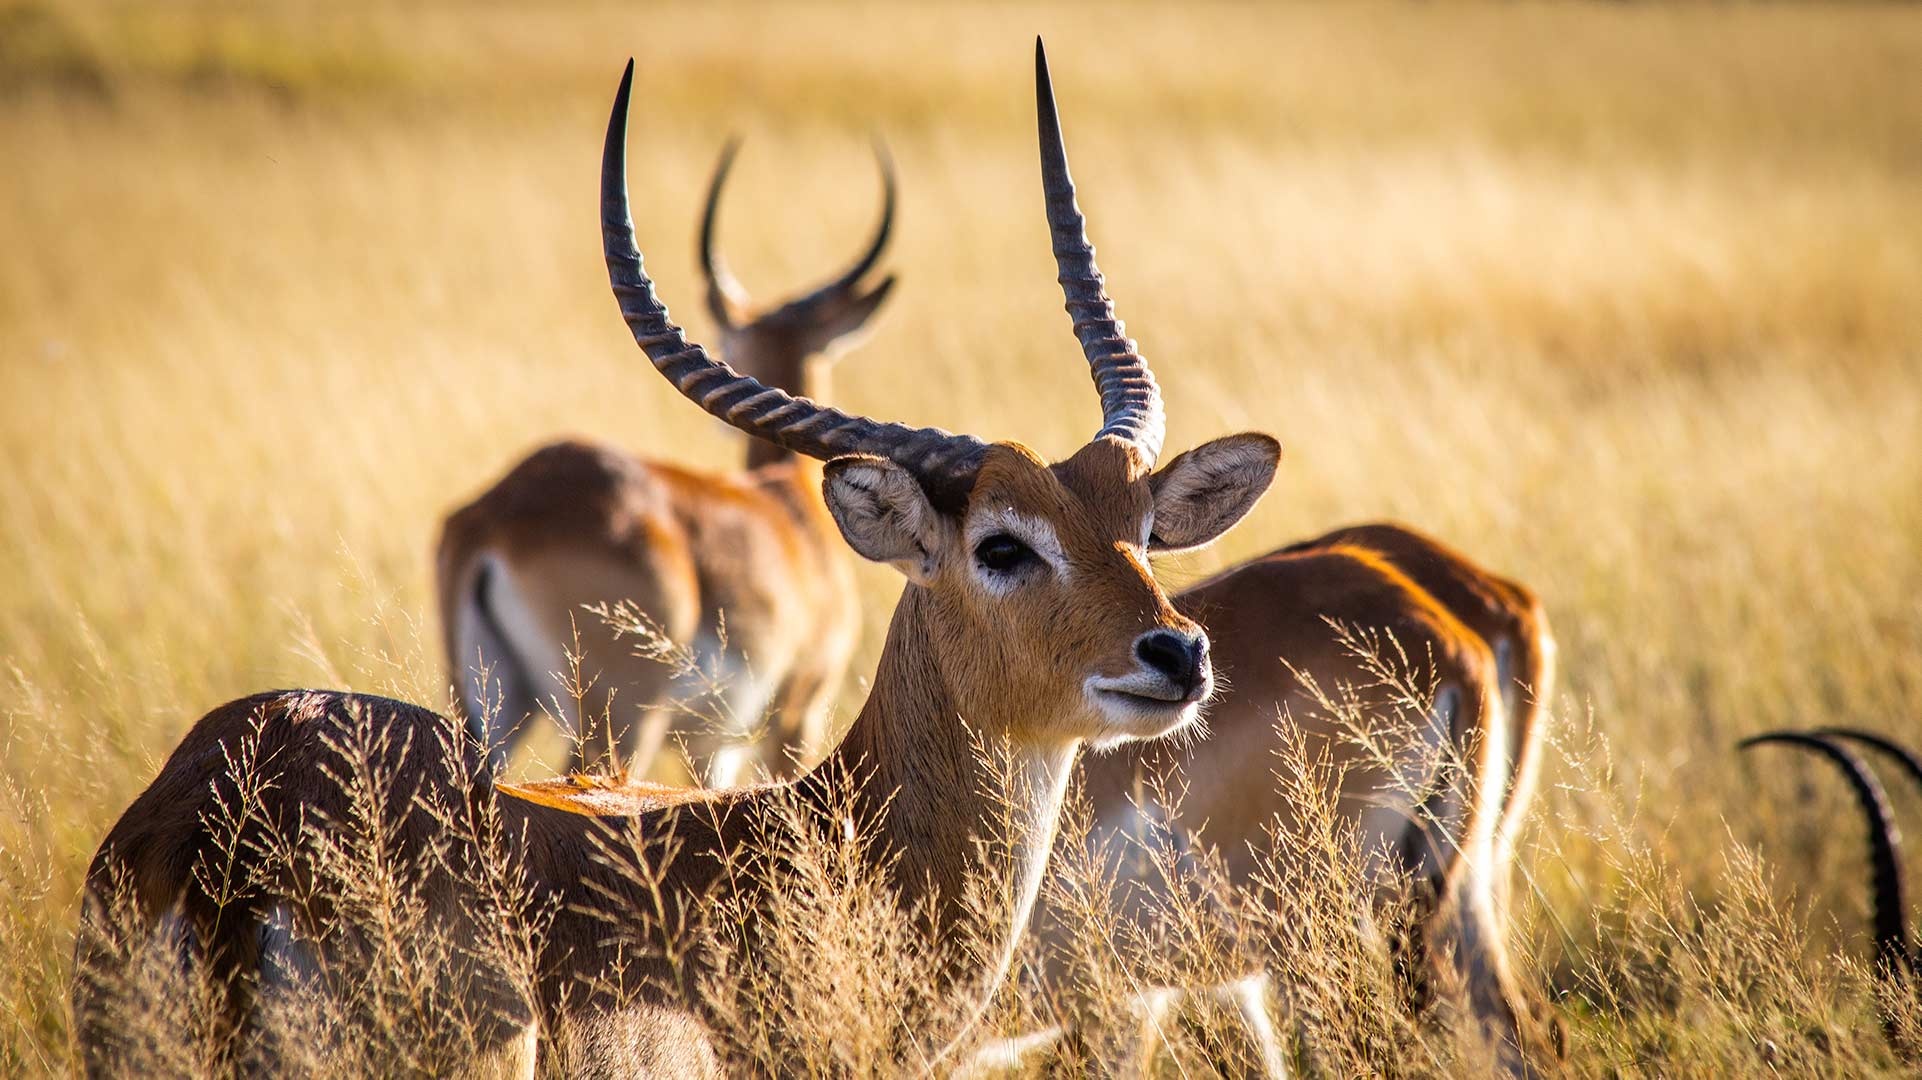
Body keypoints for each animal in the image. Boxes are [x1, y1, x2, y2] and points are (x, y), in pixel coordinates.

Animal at [436, 132, 899, 780]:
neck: (792, 505)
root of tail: (496, 517)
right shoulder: (794, 720)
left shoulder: (710, 747)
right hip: (620, 725)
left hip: (490, 712)